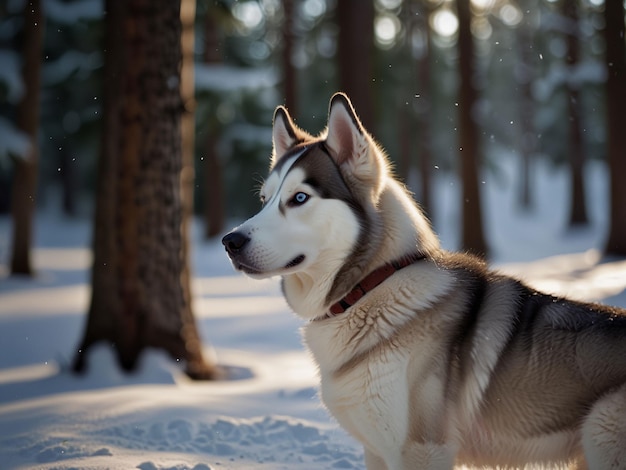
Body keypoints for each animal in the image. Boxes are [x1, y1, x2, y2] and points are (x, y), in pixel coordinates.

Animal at [221, 93, 624, 468]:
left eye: (300, 197)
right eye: (264, 199)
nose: (230, 241)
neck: (371, 285)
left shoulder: (423, 448)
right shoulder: (377, 451)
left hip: (602, 434)